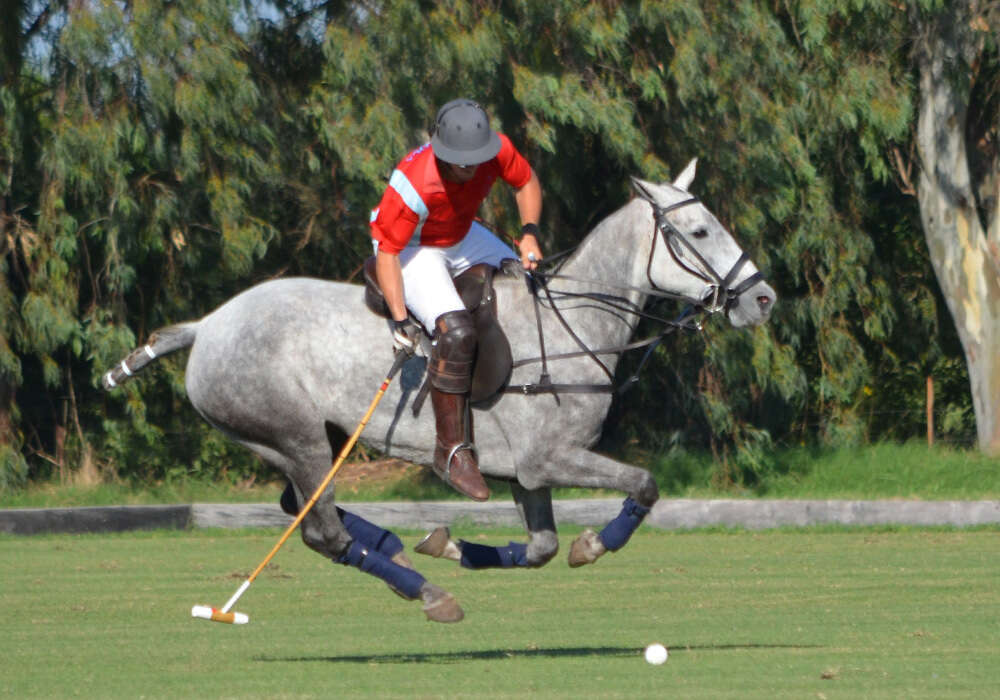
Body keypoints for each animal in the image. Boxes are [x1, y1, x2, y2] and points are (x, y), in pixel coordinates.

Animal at [101, 160, 772, 624]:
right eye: (700, 230)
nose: (763, 299)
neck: (571, 323)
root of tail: (207, 326)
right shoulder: (548, 458)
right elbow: (643, 485)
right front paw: (592, 545)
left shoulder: (526, 473)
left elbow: (540, 547)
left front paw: (446, 543)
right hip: (292, 433)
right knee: (321, 531)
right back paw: (428, 592)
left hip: (296, 440)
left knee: (300, 508)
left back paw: (395, 546)